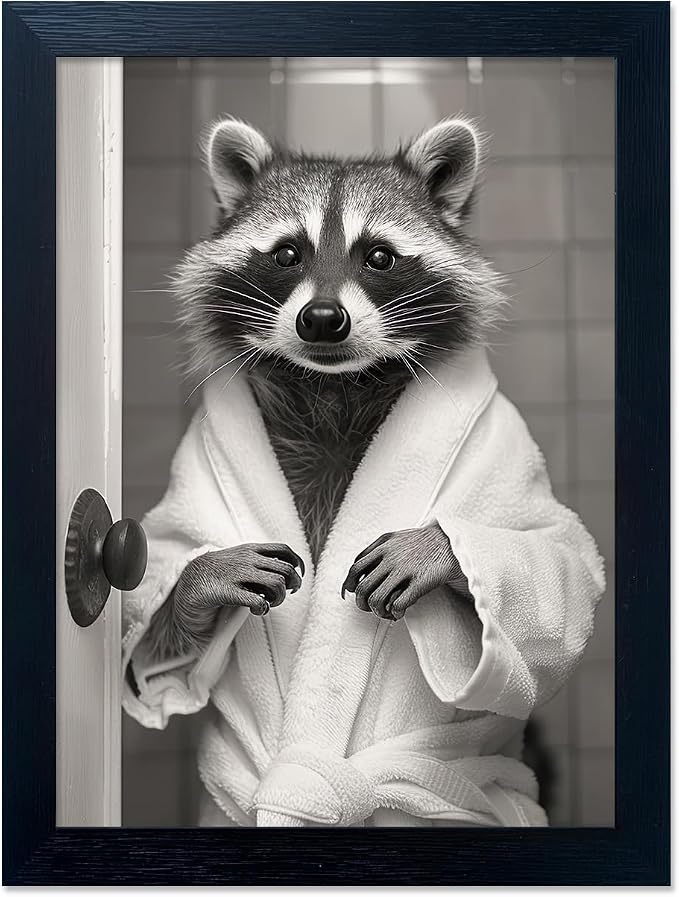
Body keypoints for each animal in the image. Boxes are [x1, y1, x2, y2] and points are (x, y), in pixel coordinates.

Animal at [147, 117, 505, 659]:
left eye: (379, 256)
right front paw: (202, 573)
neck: (333, 384)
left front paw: (435, 547)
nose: (320, 318)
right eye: (287, 254)